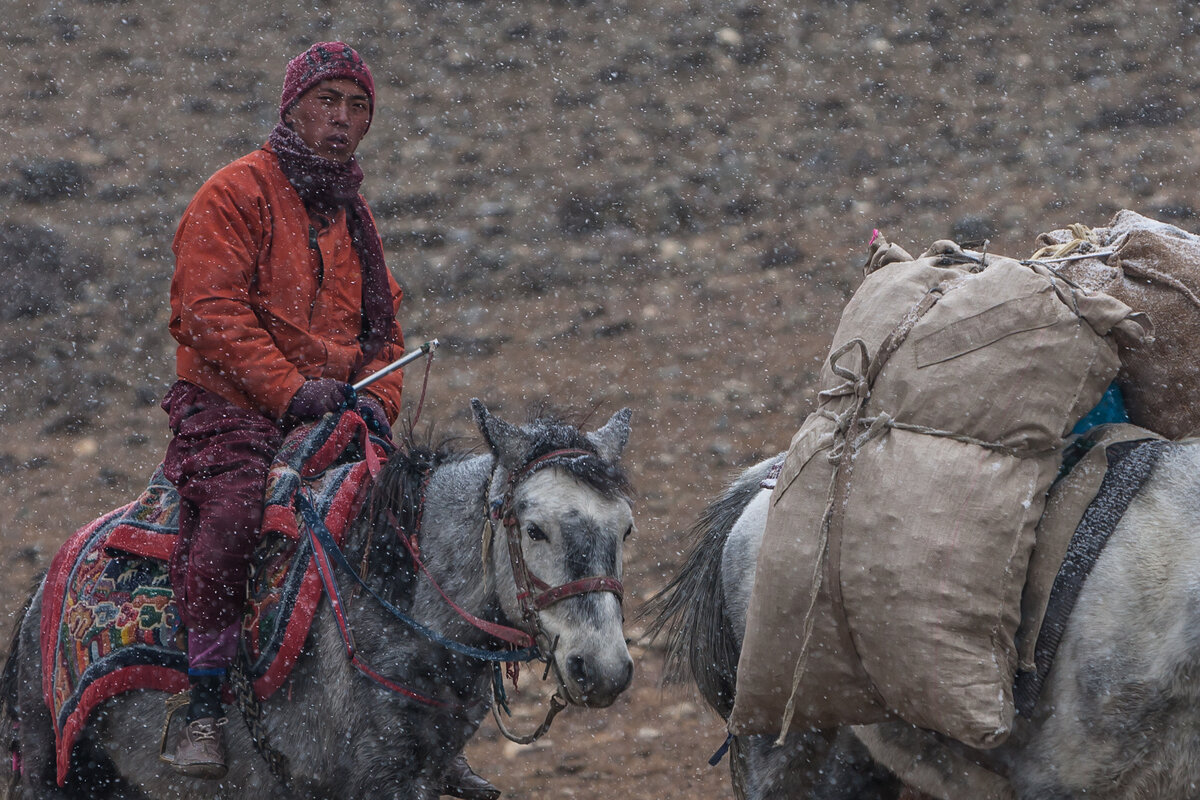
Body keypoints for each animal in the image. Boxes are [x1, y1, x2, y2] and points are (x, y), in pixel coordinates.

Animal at [2, 400, 638, 800]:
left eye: (626, 528)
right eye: (535, 530)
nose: (603, 669)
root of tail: (41, 594)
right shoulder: (376, 782)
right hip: (57, 773)